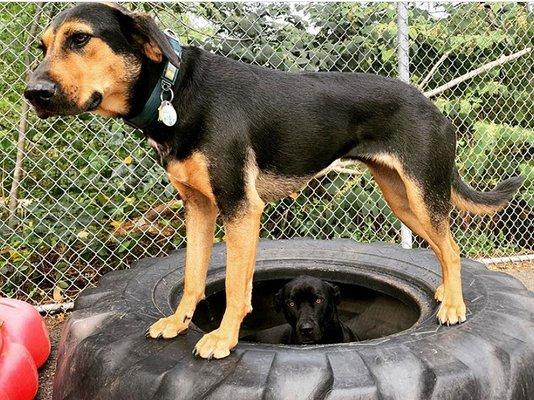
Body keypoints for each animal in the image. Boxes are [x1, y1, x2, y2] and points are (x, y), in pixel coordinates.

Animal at [25, 2, 524, 360]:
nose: (33, 94)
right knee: (443, 247)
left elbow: (233, 287)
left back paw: (454, 306)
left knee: (452, 247)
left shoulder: (240, 208)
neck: (175, 90)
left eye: (80, 39)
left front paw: (223, 338)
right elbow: (192, 277)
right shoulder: (199, 207)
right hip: (402, 197)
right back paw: (444, 292)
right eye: (43, 46)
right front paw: (179, 322)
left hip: (422, 191)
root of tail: (431, 106)